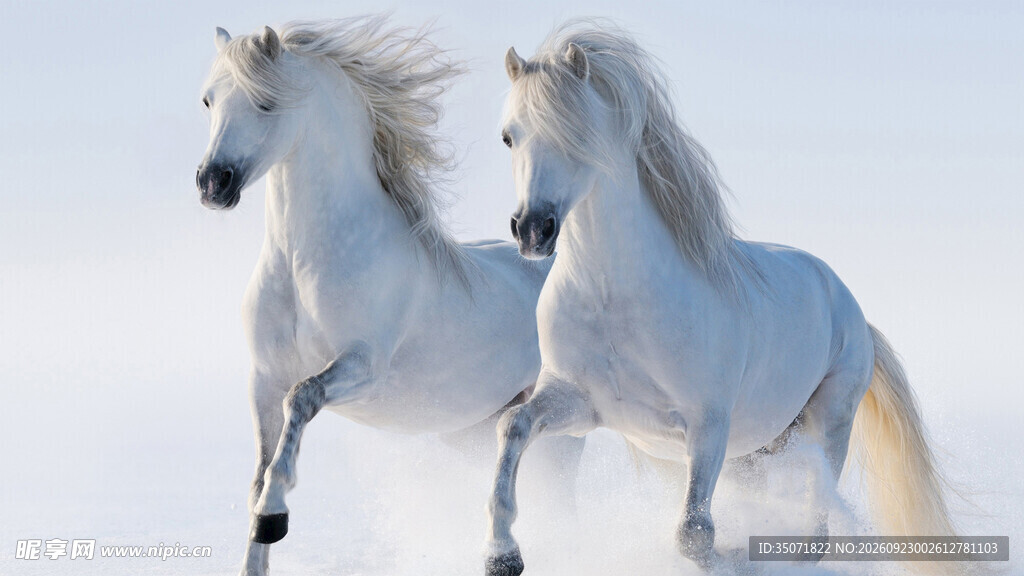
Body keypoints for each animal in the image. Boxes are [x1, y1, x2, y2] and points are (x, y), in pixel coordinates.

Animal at [195, 17, 582, 576]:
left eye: (265, 103)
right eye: (208, 100)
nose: (212, 184)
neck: (304, 263)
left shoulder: (362, 367)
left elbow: (301, 400)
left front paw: (274, 516)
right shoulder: (263, 377)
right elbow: (260, 470)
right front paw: (257, 542)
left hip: (564, 429)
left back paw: (506, 554)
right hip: (472, 430)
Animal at [484, 20, 959, 575]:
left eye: (577, 134)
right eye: (508, 136)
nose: (532, 230)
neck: (615, 300)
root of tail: (853, 310)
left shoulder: (708, 425)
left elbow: (694, 534)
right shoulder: (580, 403)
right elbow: (513, 425)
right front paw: (502, 555)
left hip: (828, 423)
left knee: (816, 527)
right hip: (754, 452)